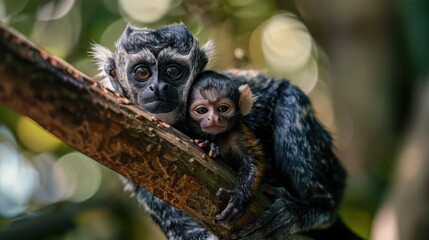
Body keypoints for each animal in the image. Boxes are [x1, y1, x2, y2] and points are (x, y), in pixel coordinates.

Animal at [186, 70, 264, 226]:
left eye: (223, 108)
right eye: (202, 110)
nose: (213, 118)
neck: (218, 138)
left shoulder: (238, 133)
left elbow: (254, 161)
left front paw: (239, 198)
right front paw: (208, 144)